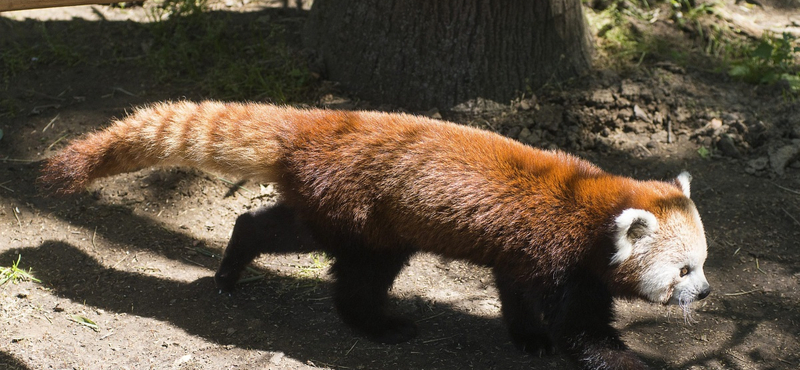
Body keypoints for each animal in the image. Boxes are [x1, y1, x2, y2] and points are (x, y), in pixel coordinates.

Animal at [40, 100, 708, 370]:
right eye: (683, 270)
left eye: (704, 263)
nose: (703, 295)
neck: (593, 205)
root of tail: (315, 125)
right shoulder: (562, 258)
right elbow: (583, 332)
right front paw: (630, 360)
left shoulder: (524, 256)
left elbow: (519, 299)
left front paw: (528, 339)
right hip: (362, 216)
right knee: (351, 273)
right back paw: (377, 324)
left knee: (270, 225)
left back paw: (232, 266)